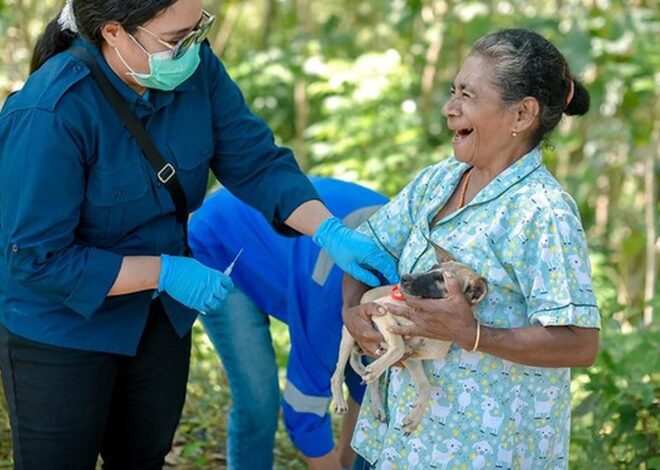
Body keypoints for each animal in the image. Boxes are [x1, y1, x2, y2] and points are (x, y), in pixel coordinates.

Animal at [332, 242, 488, 434]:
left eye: (440, 279)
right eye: (432, 267)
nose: (404, 278)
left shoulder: (413, 357)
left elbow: (425, 386)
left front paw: (414, 418)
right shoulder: (382, 311)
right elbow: (398, 346)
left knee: (373, 380)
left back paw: (377, 405)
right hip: (348, 335)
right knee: (337, 374)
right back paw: (340, 399)